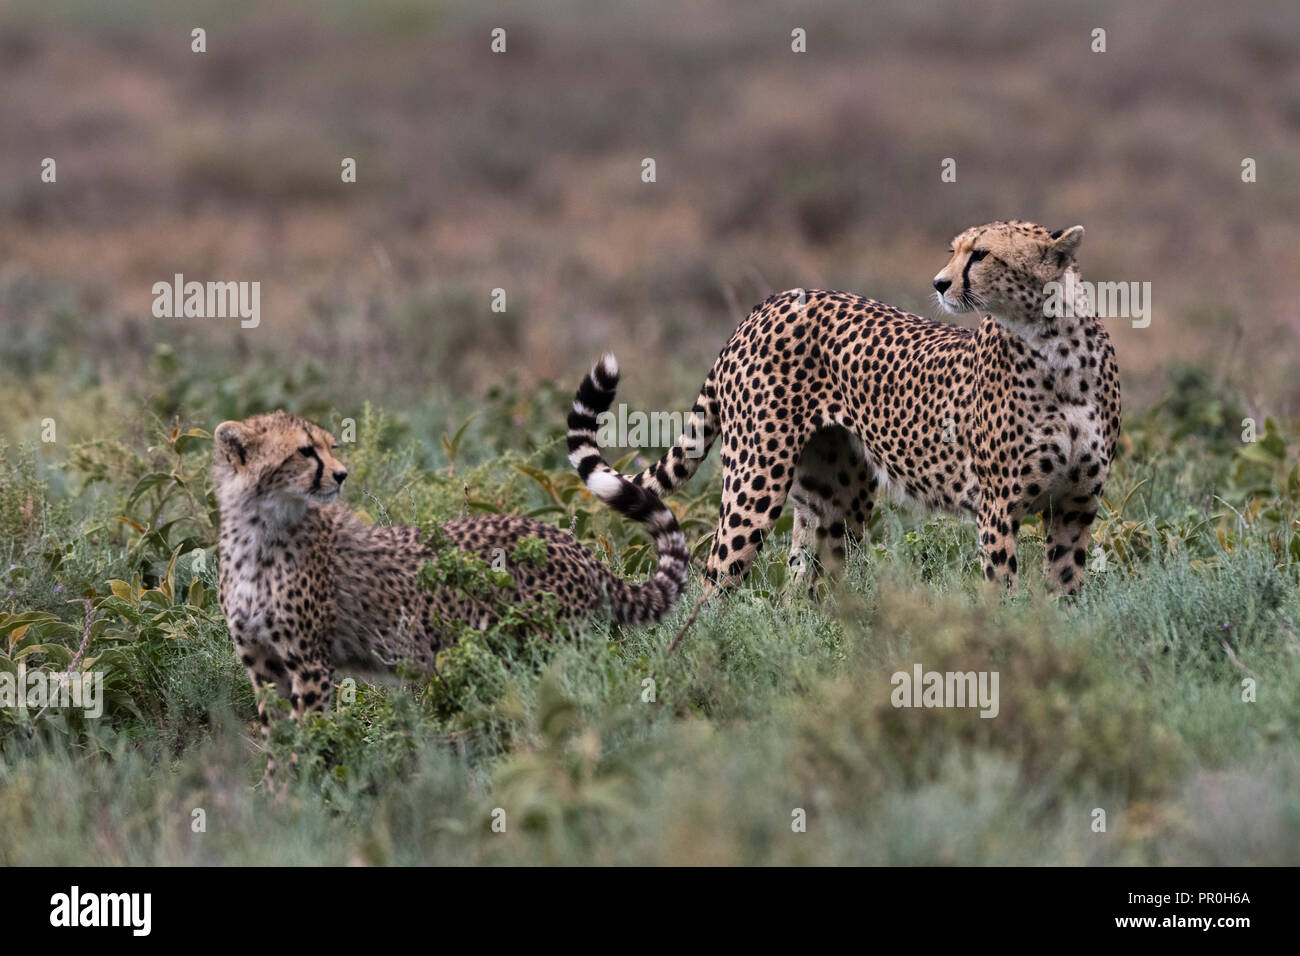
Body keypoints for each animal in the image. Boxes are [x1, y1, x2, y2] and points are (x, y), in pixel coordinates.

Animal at [618, 222, 1118, 598]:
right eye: (955, 251)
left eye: (980, 255)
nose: (939, 283)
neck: (1056, 349)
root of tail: (768, 303)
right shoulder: (998, 508)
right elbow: (1003, 591)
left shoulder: (1076, 506)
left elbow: (1065, 589)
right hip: (756, 479)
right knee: (716, 580)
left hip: (839, 496)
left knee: (806, 585)